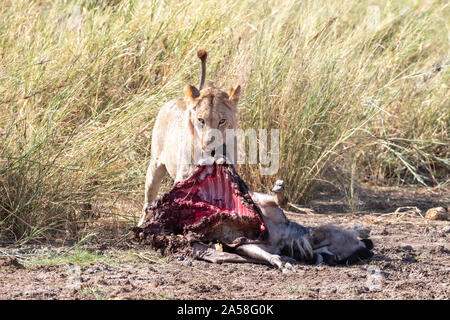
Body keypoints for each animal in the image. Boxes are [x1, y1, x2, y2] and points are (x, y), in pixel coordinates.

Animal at [139, 48, 241, 226]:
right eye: (201, 120)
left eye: (222, 121)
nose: (209, 146)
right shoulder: (183, 177)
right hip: (155, 165)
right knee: (148, 199)